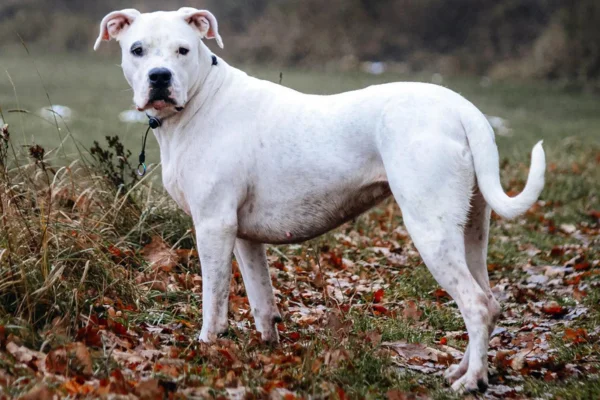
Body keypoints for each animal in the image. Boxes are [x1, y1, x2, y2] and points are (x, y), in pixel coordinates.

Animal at [95, 7, 548, 392]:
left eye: (183, 50)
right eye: (137, 50)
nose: (159, 76)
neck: (200, 100)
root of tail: (461, 108)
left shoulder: (212, 226)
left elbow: (215, 299)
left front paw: (208, 346)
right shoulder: (242, 236)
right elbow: (261, 300)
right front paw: (267, 349)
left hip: (431, 230)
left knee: (475, 305)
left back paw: (470, 381)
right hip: (471, 230)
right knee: (489, 301)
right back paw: (468, 369)